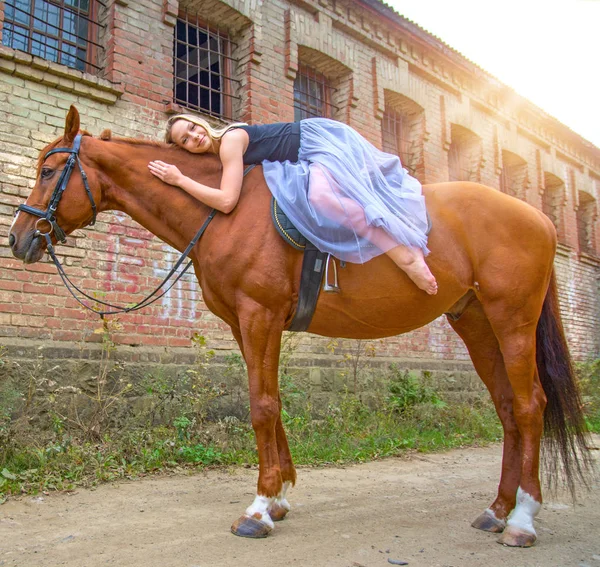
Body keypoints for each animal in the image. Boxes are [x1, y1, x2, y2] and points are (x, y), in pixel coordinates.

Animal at [9, 106, 592, 544]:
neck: (228, 211)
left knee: (530, 405)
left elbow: (262, 406)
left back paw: (522, 519)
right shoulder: (246, 324)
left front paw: (259, 508)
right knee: (508, 409)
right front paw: (279, 497)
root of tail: (538, 218)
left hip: (512, 319)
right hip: (476, 322)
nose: (18, 239)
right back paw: (497, 509)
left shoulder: (260, 315)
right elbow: (269, 402)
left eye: (47, 171)